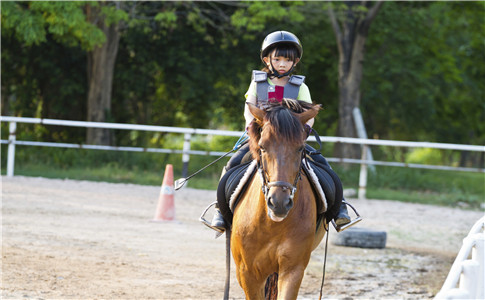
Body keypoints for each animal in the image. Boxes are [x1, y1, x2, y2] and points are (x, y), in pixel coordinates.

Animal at [230, 99, 326, 298]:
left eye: (300, 148)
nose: (279, 203)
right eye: (262, 147)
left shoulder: (292, 270)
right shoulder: (247, 273)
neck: (271, 225)